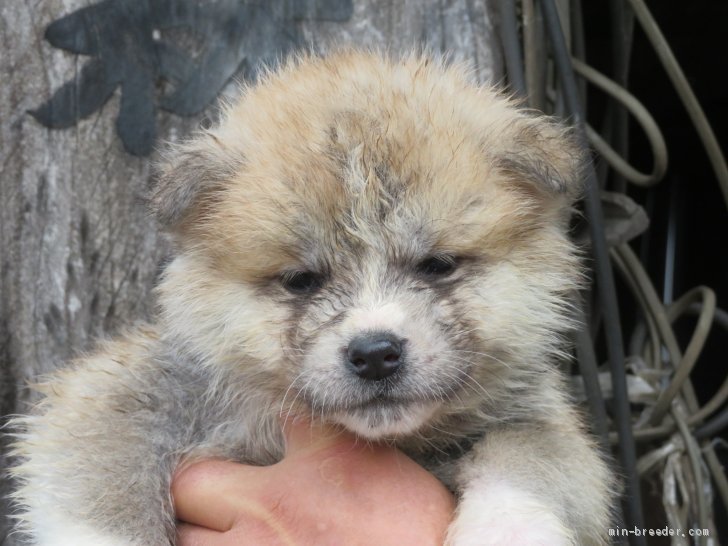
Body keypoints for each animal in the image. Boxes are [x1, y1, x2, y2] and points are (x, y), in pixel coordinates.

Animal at [11, 50, 616, 540]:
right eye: (302, 279)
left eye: (438, 265)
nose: (375, 354)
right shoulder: (114, 395)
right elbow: (107, 495)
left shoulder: (544, 426)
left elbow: (525, 465)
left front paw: (505, 531)